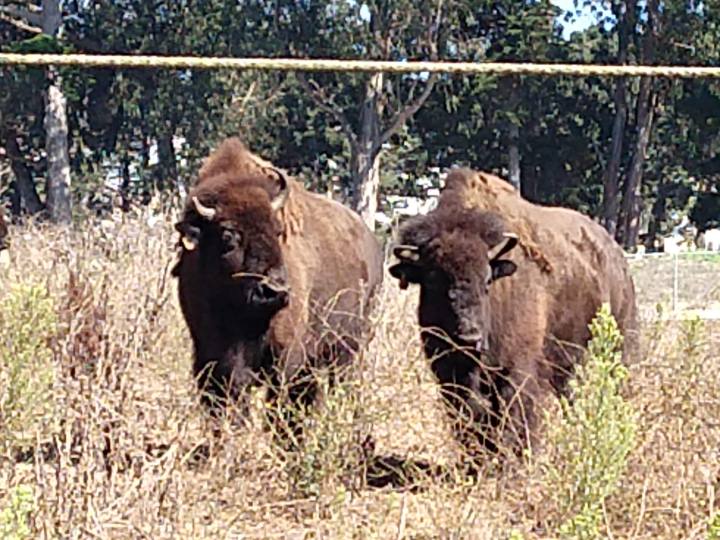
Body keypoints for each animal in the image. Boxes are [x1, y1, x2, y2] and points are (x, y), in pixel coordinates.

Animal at [171, 138, 383, 440]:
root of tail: (372, 242)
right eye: (228, 236)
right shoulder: (209, 357)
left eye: (278, 230)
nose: (275, 290)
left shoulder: (286, 359)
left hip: (350, 346)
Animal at [389, 168, 638, 459]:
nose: (469, 337)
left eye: (487, 280)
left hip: (617, 348)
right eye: (432, 281)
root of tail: (616, 255)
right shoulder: (450, 377)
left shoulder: (517, 373)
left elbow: (513, 421)